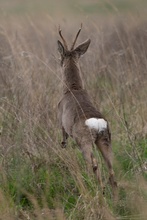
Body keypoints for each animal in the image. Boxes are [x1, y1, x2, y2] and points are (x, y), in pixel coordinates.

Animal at [56, 24, 116, 194]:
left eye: (61, 56)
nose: (60, 62)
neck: (72, 89)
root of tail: (96, 124)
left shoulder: (60, 119)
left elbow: (63, 135)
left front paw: (63, 145)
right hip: (105, 139)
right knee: (111, 169)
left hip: (85, 142)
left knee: (94, 163)